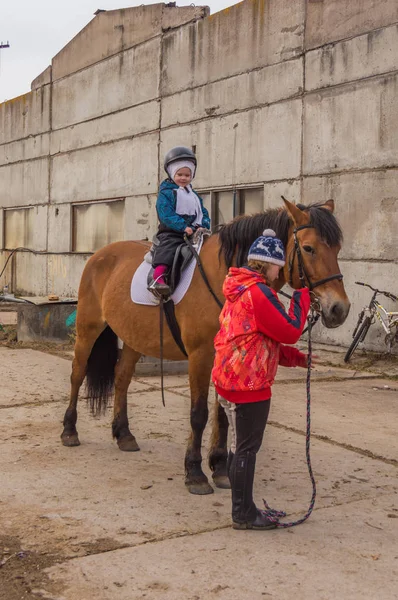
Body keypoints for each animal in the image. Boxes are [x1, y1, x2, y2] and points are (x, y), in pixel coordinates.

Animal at [60, 199, 350, 494]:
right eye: (309, 248)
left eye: (337, 248)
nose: (339, 309)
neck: (227, 278)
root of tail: (99, 255)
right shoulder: (200, 355)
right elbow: (199, 414)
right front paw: (195, 473)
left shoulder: (224, 358)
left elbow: (221, 413)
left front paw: (220, 469)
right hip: (88, 328)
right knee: (78, 373)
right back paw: (70, 430)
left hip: (133, 336)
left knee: (121, 378)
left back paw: (124, 434)